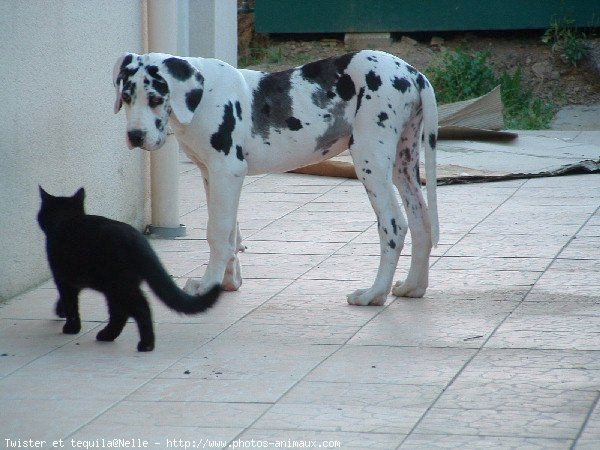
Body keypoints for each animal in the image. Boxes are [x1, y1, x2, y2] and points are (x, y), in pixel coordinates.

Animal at [37, 186, 221, 352]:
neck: (66, 220)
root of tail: (137, 239)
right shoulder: (74, 280)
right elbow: (66, 299)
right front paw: (60, 310)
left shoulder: (63, 278)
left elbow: (71, 303)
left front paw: (71, 327)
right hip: (116, 287)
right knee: (121, 312)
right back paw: (107, 335)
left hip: (118, 285)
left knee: (140, 308)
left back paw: (145, 344)